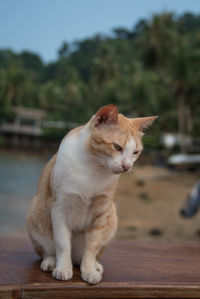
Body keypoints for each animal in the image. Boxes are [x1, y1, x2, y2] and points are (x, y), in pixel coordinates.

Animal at [26, 105, 158, 286]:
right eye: (117, 147)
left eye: (135, 152)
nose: (127, 167)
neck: (93, 167)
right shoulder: (59, 209)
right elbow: (62, 243)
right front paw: (63, 268)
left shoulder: (101, 212)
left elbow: (92, 246)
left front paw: (88, 270)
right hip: (35, 214)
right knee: (48, 251)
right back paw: (51, 261)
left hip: (112, 217)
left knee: (86, 255)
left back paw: (93, 265)